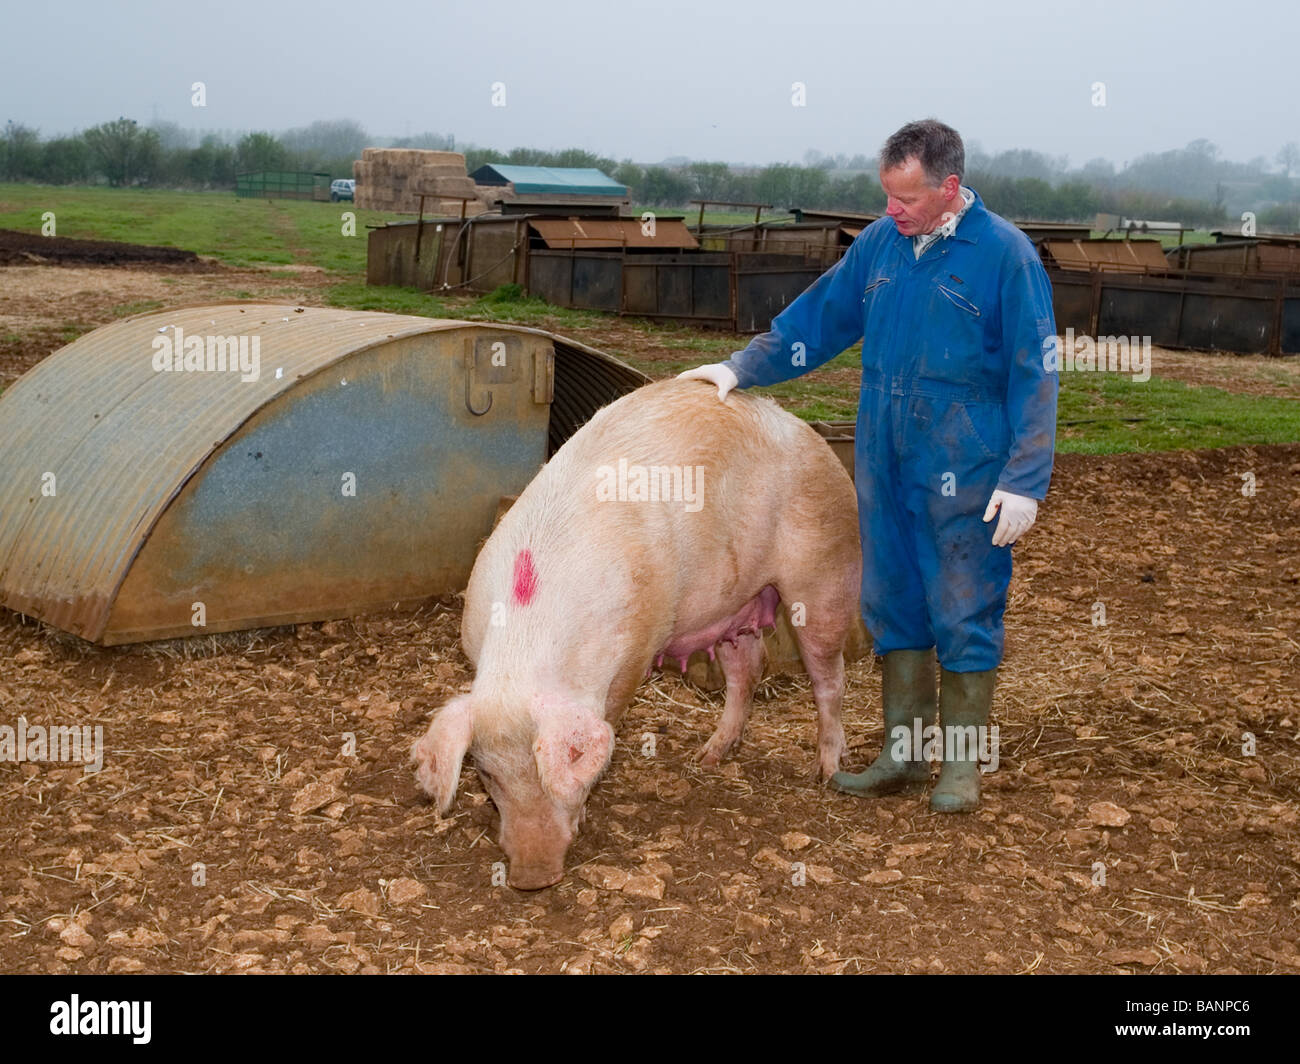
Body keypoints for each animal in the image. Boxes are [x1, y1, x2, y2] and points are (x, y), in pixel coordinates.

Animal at [412, 378, 860, 889]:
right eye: (487, 775)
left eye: (553, 768)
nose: (531, 877)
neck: (527, 644)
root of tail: (806, 430)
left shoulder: (634, 650)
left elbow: (609, 716)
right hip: (733, 602)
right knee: (748, 668)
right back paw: (707, 757)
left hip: (824, 570)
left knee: (829, 677)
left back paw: (827, 772)